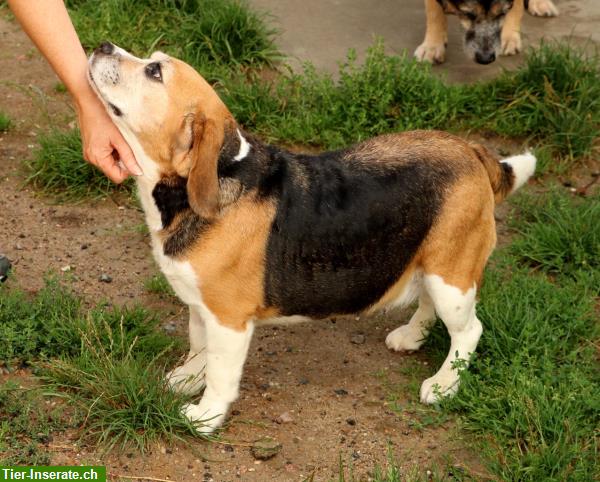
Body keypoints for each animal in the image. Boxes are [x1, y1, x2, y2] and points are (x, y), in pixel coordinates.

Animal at [418, 0, 556, 64]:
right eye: (468, 14)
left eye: (501, 13)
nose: (486, 59)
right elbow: (433, 11)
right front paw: (432, 47)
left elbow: (516, 6)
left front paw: (509, 37)